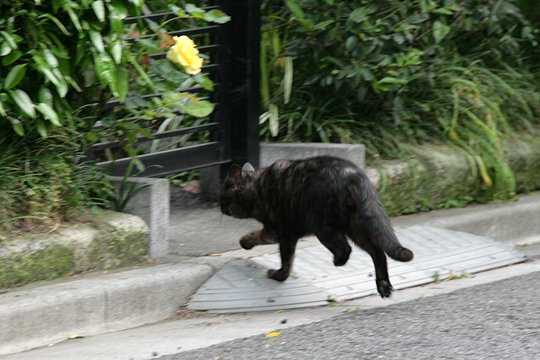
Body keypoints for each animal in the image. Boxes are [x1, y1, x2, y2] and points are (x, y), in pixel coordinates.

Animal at [219, 155, 414, 298]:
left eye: (223, 196)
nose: (220, 206)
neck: (256, 187)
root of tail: (354, 175)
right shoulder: (281, 233)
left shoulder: (279, 231)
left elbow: (283, 257)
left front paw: (277, 274)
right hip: (356, 227)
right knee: (377, 252)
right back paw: (384, 286)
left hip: (323, 227)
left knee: (345, 248)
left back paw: (339, 262)